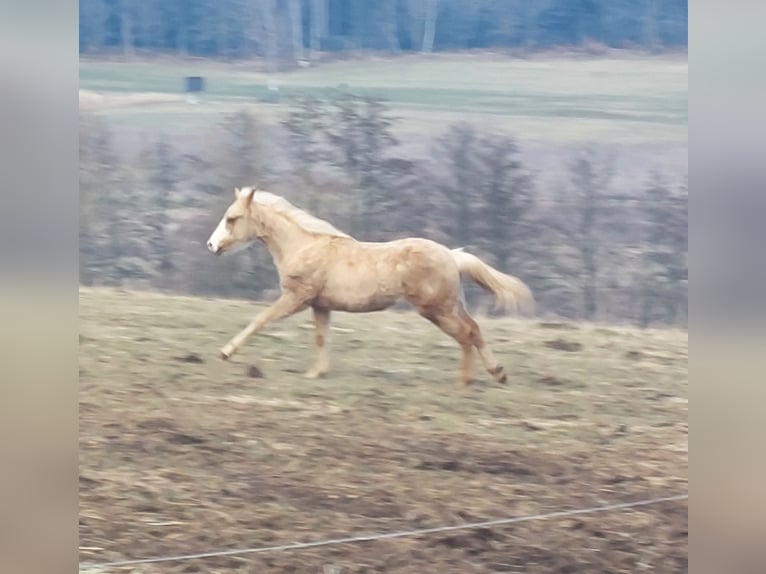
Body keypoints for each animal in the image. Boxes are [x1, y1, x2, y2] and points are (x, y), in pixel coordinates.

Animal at [206, 186, 534, 386]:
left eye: (232, 218)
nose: (211, 245)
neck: (302, 246)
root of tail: (452, 256)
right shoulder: (320, 305)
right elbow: (321, 338)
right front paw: (316, 373)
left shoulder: (296, 298)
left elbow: (260, 320)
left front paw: (225, 353)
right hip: (450, 306)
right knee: (474, 330)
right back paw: (497, 373)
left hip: (436, 309)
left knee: (466, 335)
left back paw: (464, 381)